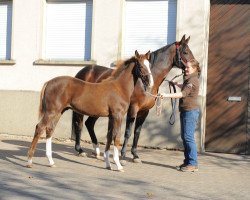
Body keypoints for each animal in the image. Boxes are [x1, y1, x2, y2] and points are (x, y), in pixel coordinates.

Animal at [71, 34, 194, 164]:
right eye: (185, 52)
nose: (196, 66)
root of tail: (83, 71)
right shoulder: (133, 108)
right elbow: (128, 132)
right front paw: (123, 156)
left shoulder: (144, 111)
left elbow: (137, 132)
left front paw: (135, 155)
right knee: (79, 124)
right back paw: (80, 150)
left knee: (89, 124)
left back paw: (97, 151)